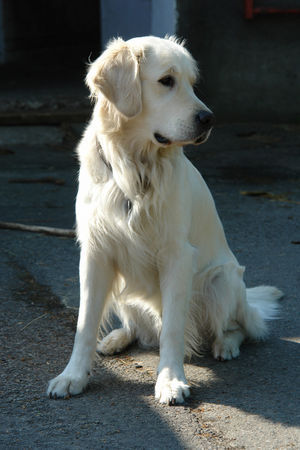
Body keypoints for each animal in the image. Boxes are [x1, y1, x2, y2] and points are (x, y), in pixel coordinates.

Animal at [48, 36, 282, 404]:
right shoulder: (96, 253)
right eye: (166, 81)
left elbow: (172, 327)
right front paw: (72, 376)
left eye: (192, 83)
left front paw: (170, 380)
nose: (209, 118)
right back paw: (117, 338)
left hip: (222, 280)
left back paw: (225, 344)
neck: (135, 167)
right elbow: (85, 324)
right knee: (134, 325)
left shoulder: (177, 255)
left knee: (240, 327)